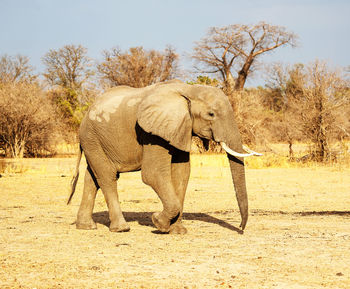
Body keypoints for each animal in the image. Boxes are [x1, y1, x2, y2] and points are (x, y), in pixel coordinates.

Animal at [67, 79, 262, 234]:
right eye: (211, 114)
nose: (241, 228)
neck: (188, 90)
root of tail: (87, 112)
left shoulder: (180, 128)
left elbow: (182, 174)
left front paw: (177, 231)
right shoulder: (152, 132)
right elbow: (152, 174)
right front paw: (158, 222)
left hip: (95, 140)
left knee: (93, 177)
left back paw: (86, 227)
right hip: (91, 136)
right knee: (107, 176)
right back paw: (121, 228)